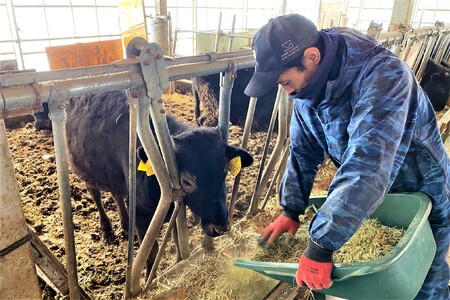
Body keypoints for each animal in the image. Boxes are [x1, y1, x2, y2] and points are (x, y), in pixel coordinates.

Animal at [64, 89, 253, 272]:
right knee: (95, 195)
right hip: (84, 170)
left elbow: (177, 240)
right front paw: (150, 274)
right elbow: (151, 253)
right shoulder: (140, 214)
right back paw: (106, 228)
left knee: (117, 195)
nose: (220, 227)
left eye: (224, 172)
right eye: (187, 182)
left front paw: (179, 262)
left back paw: (125, 224)